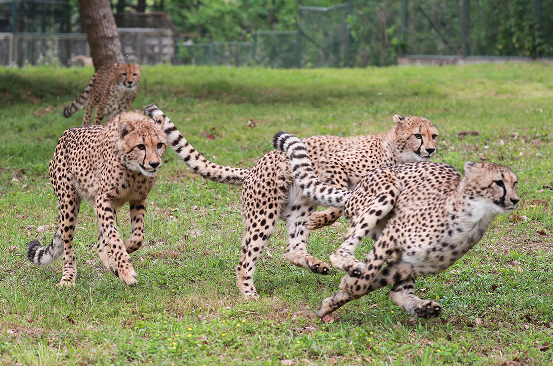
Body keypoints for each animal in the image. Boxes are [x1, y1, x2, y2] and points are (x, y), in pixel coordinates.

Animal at [27, 111, 166, 286]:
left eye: (159, 145)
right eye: (141, 146)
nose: (154, 163)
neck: (133, 170)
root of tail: (64, 134)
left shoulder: (138, 199)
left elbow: (138, 237)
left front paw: (122, 255)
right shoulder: (103, 199)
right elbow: (114, 237)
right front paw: (126, 270)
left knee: (100, 243)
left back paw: (112, 264)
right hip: (69, 202)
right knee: (67, 244)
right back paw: (68, 277)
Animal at [144, 104, 438, 298]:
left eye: (433, 135)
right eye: (417, 134)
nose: (431, 149)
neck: (394, 151)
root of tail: (251, 168)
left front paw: (319, 223)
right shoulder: (334, 164)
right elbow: (338, 199)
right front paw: (321, 219)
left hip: (298, 209)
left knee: (292, 248)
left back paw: (315, 263)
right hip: (263, 215)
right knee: (246, 259)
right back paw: (248, 293)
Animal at [274, 132, 520, 320]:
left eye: (515, 183)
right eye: (498, 182)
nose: (515, 200)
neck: (472, 216)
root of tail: (356, 189)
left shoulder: (410, 263)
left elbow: (374, 282)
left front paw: (333, 301)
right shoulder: (393, 233)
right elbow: (365, 278)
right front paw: (345, 289)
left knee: (397, 292)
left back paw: (421, 307)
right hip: (385, 193)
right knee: (340, 252)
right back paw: (351, 264)